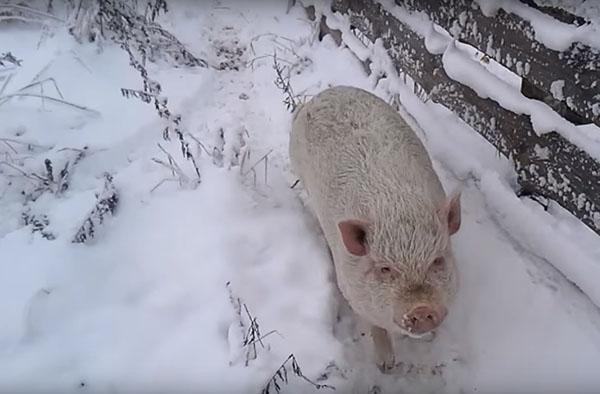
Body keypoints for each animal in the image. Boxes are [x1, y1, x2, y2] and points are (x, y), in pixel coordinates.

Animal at [288, 84, 462, 370]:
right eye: (385, 269)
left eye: (437, 261)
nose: (421, 308)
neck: (397, 210)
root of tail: (324, 93)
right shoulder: (352, 290)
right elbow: (375, 327)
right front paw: (386, 366)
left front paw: (430, 339)